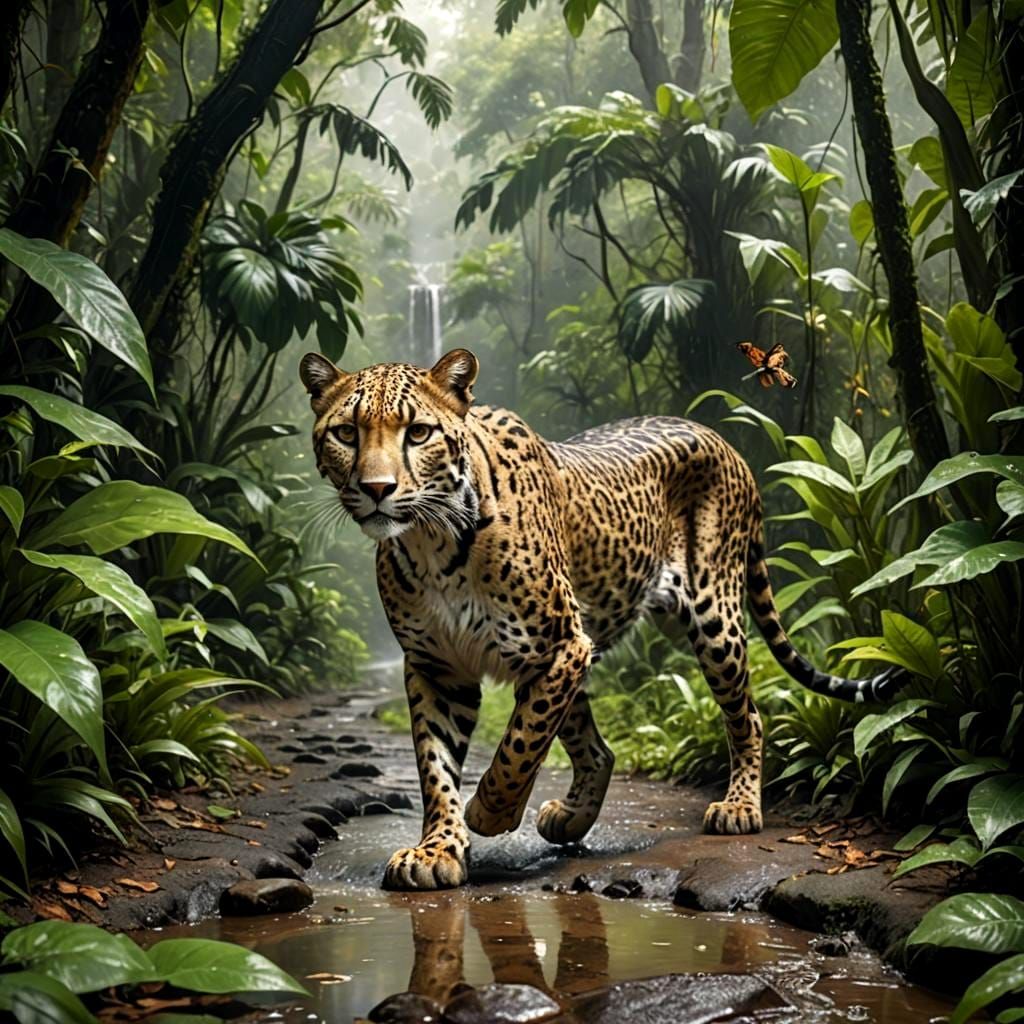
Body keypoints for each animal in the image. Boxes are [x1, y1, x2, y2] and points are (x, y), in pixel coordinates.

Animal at [299, 347, 909, 892]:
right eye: (347, 433)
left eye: (418, 433)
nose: (378, 490)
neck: (432, 543)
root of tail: (723, 441)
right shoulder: (436, 666)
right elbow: (436, 766)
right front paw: (437, 849)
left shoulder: (562, 645)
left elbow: (518, 745)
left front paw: (489, 814)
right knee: (599, 749)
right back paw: (570, 817)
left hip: (712, 617)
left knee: (748, 717)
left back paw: (737, 807)